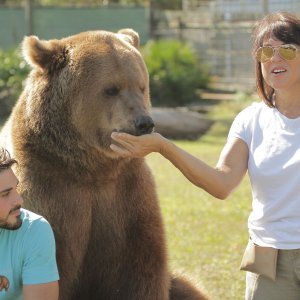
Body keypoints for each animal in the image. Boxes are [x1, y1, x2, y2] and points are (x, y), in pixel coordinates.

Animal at [0, 28, 210, 300]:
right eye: (111, 89)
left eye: (141, 86)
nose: (144, 123)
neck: (91, 169)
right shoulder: (48, 190)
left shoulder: (127, 196)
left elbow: (141, 269)